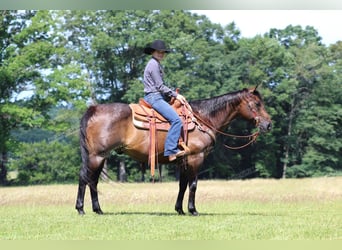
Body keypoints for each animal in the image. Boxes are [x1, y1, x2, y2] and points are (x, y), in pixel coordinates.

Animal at [75, 86, 272, 215]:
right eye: (256, 104)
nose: (268, 124)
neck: (203, 119)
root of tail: (94, 109)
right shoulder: (196, 157)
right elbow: (193, 184)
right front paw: (193, 210)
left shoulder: (184, 160)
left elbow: (182, 185)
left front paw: (180, 210)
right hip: (96, 156)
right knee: (85, 178)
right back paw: (81, 209)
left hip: (100, 157)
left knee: (93, 181)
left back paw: (98, 210)